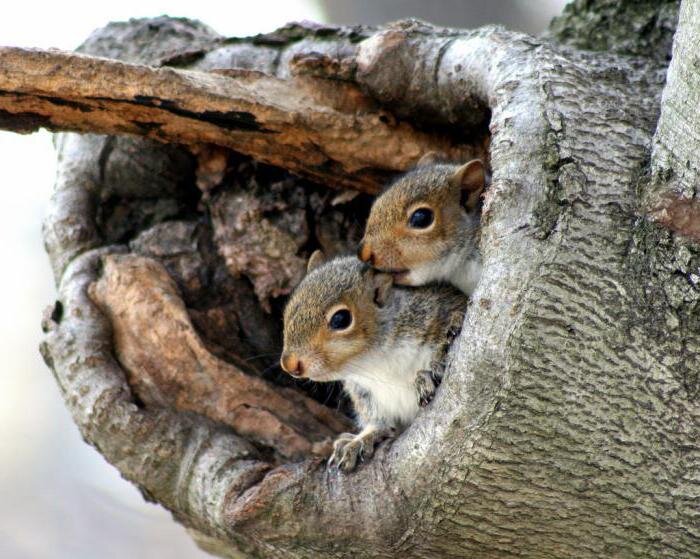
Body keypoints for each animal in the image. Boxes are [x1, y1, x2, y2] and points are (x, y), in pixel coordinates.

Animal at [278, 254, 464, 472]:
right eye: (288, 308)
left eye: (341, 319)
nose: (290, 364)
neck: (374, 361)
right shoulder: (363, 390)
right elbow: (377, 419)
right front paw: (362, 438)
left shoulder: (435, 313)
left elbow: (449, 336)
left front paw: (429, 374)